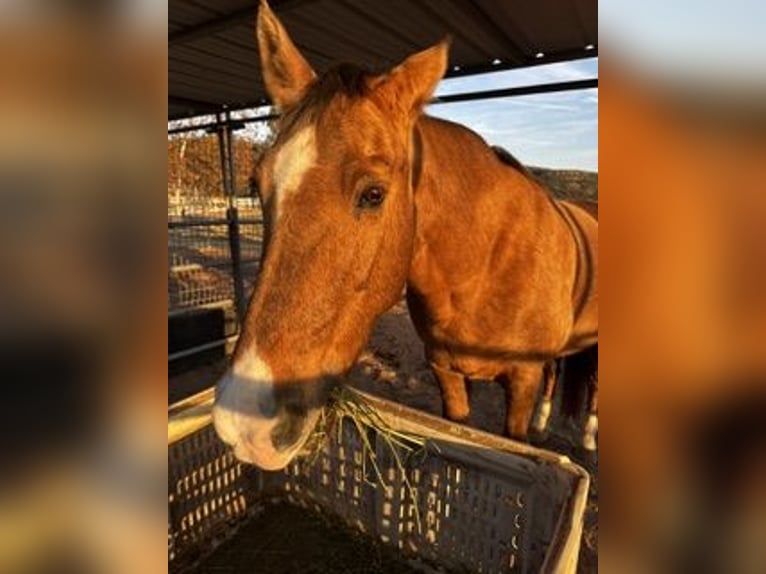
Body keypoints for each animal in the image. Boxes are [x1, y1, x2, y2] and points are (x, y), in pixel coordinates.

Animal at [212, 0, 598, 470]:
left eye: (373, 194)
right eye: (256, 183)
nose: (244, 425)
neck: (486, 266)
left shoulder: (523, 378)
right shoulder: (446, 371)